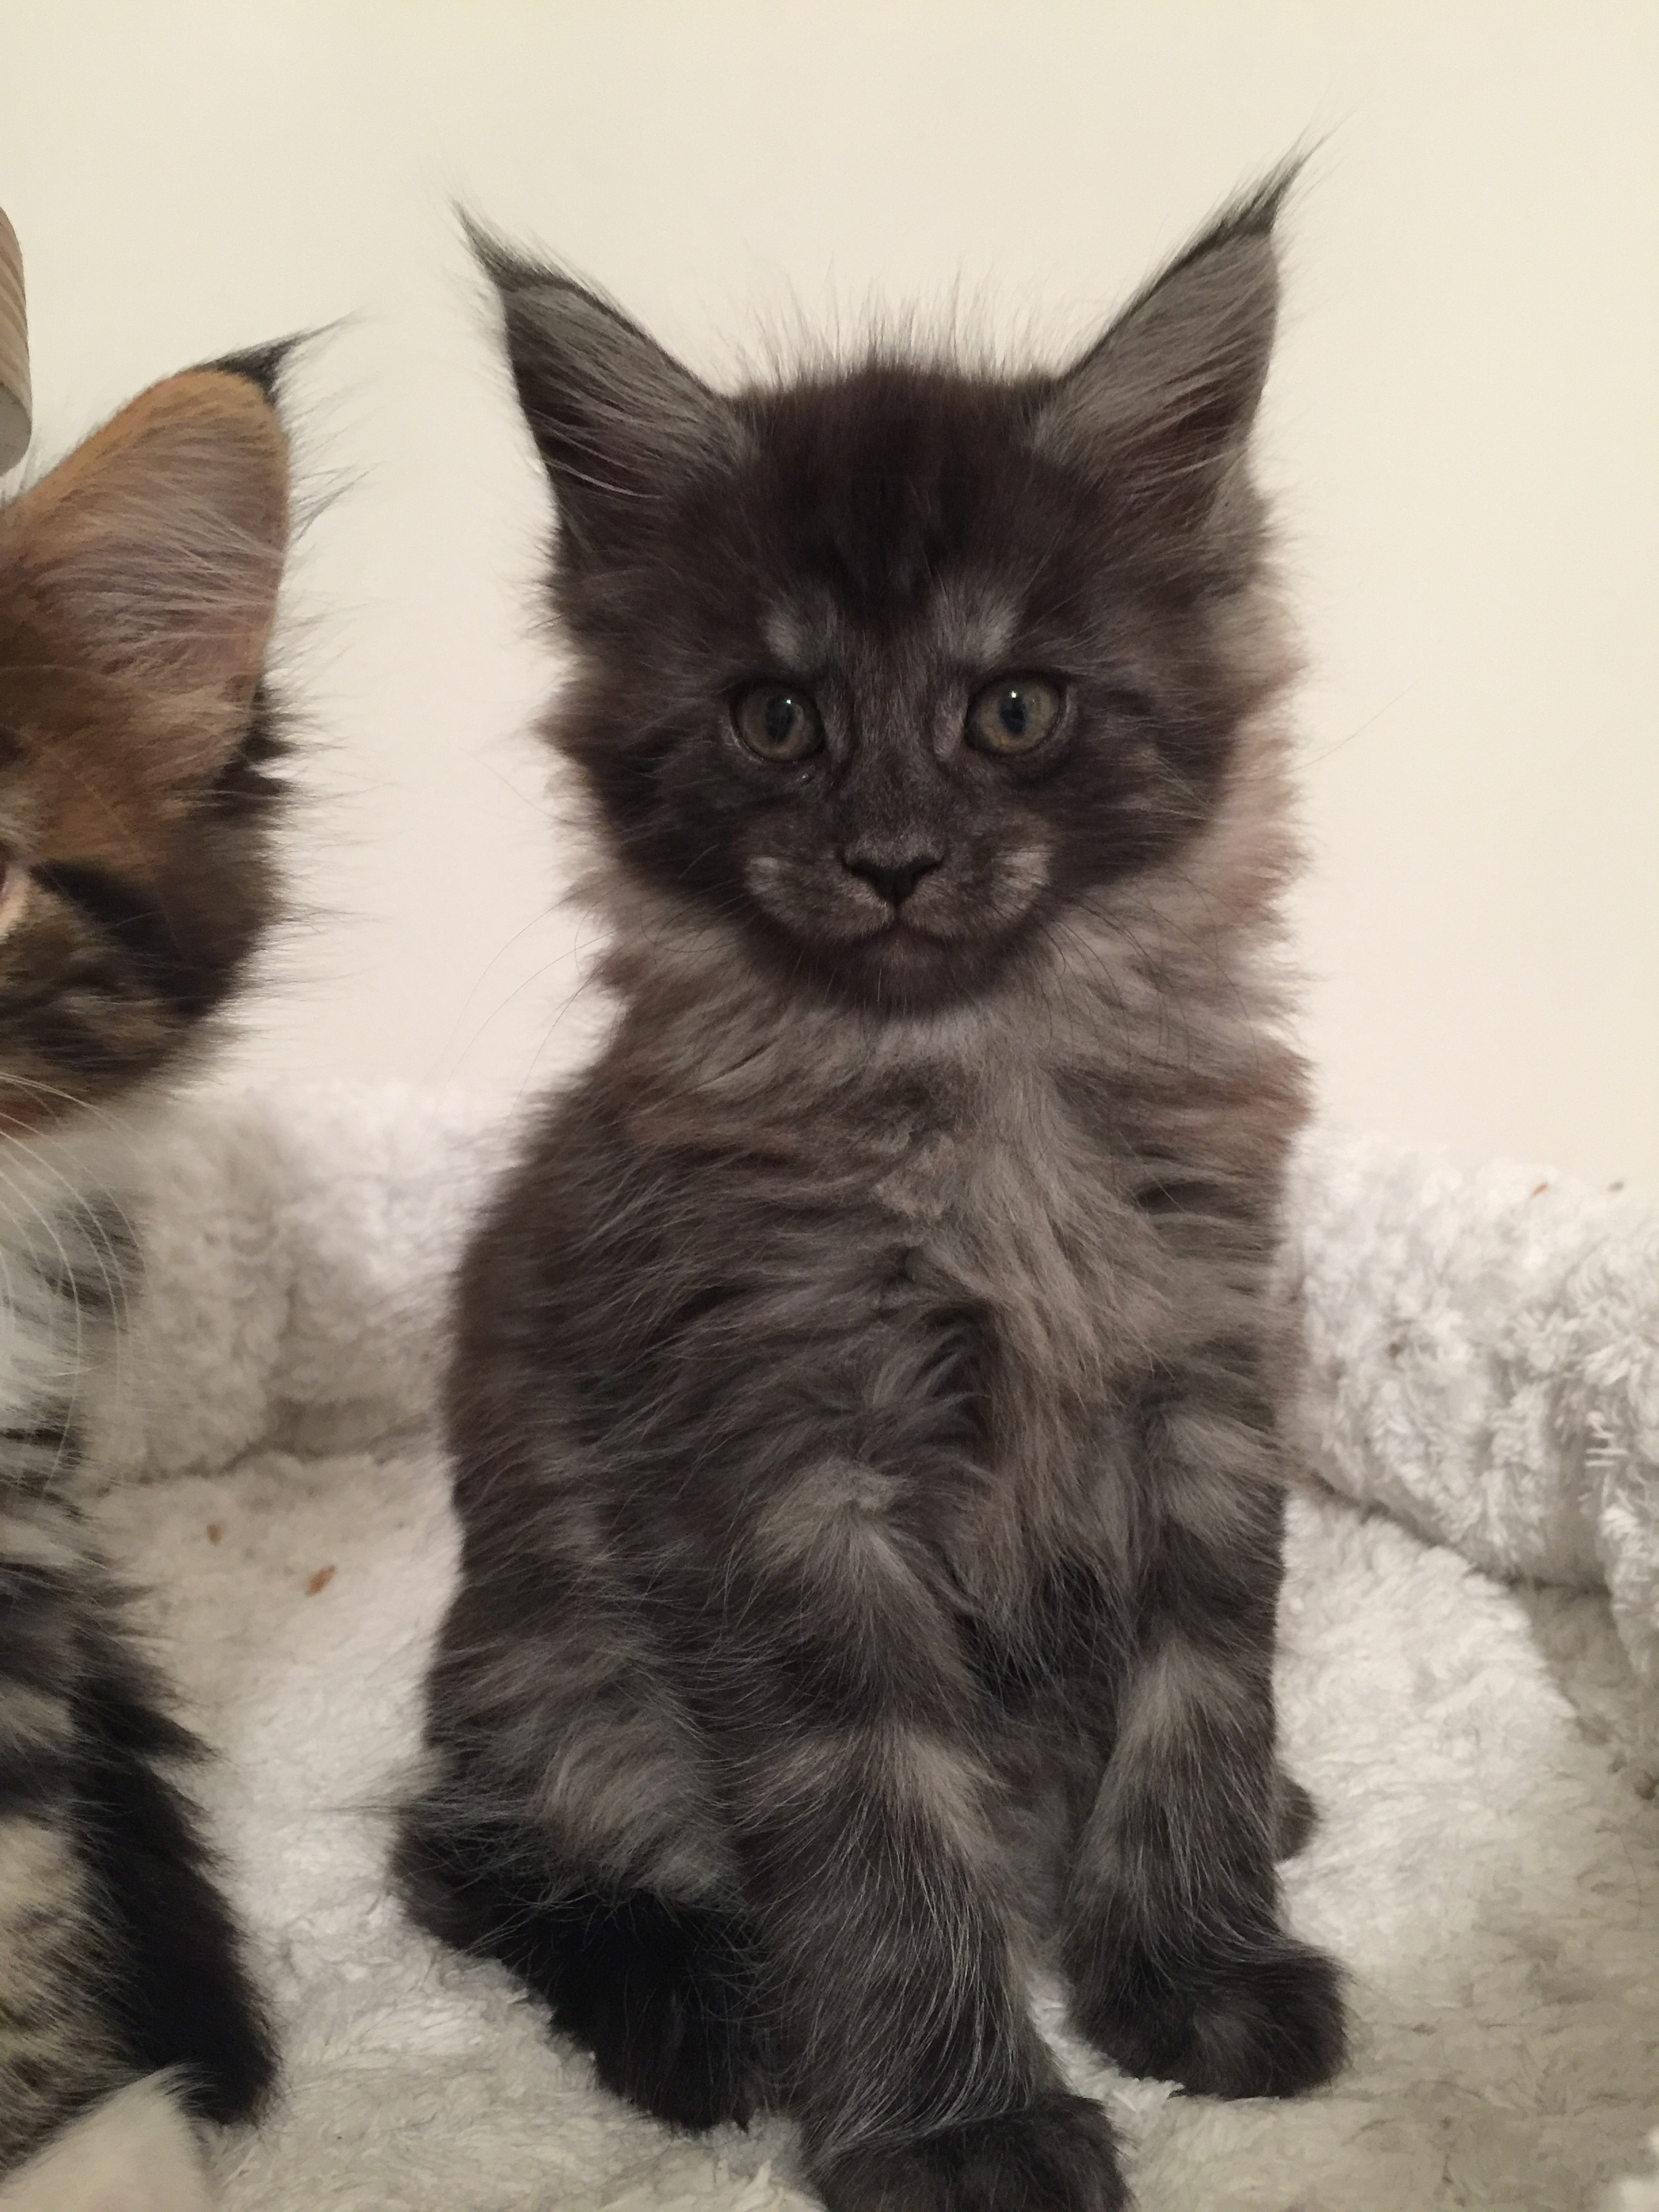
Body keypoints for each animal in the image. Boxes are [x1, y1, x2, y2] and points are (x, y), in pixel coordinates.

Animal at [396, 173, 1344, 2212]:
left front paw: (1196, 1966)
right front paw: (962, 2126)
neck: (971, 1101)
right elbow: (873, 1822)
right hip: (557, 1660)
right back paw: (706, 2007)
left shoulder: (1197, 1384)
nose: (893, 858)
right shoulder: (782, 1469)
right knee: (465, 1853)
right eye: (776, 720)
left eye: (1013, 712)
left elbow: (1198, 1696)